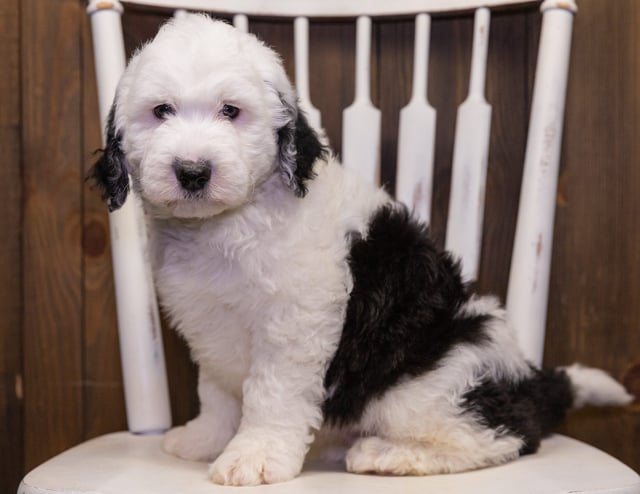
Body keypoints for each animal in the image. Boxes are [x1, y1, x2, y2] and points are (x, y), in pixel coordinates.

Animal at [91, 13, 636, 484]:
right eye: (161, 111)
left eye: (231, 111)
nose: (193, 171)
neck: (227, 225)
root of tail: (529, 381)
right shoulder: (209, 325)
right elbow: (218, 392)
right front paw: (206, 439)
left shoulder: (294, 322)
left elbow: (270, 393)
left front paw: (255, 457)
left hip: (428, 377)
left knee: (500, 436)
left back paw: (387, 454)